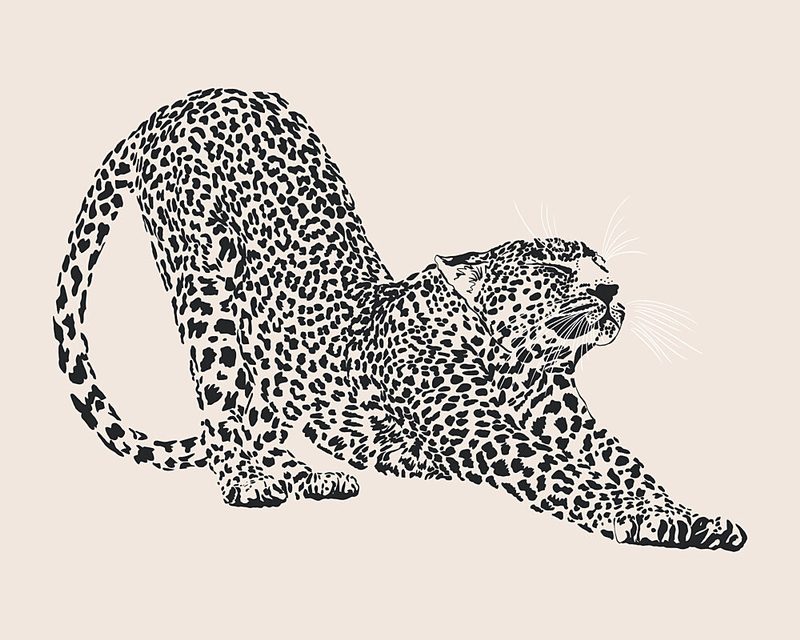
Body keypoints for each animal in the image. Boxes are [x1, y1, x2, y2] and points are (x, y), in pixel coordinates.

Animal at [54, 88, 746, 551]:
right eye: (553, 270)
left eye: (602, 263)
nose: (611, 288)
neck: (520, 362)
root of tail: (180, 102)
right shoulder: (479, 431)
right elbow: (567, 478)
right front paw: (637, 519)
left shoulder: (571, 422)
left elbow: (629, 465)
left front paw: (688, 516)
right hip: (205, 293)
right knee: (222, 403)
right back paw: (250, 482)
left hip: (271, 359)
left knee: (264, 410)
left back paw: (309, 476)